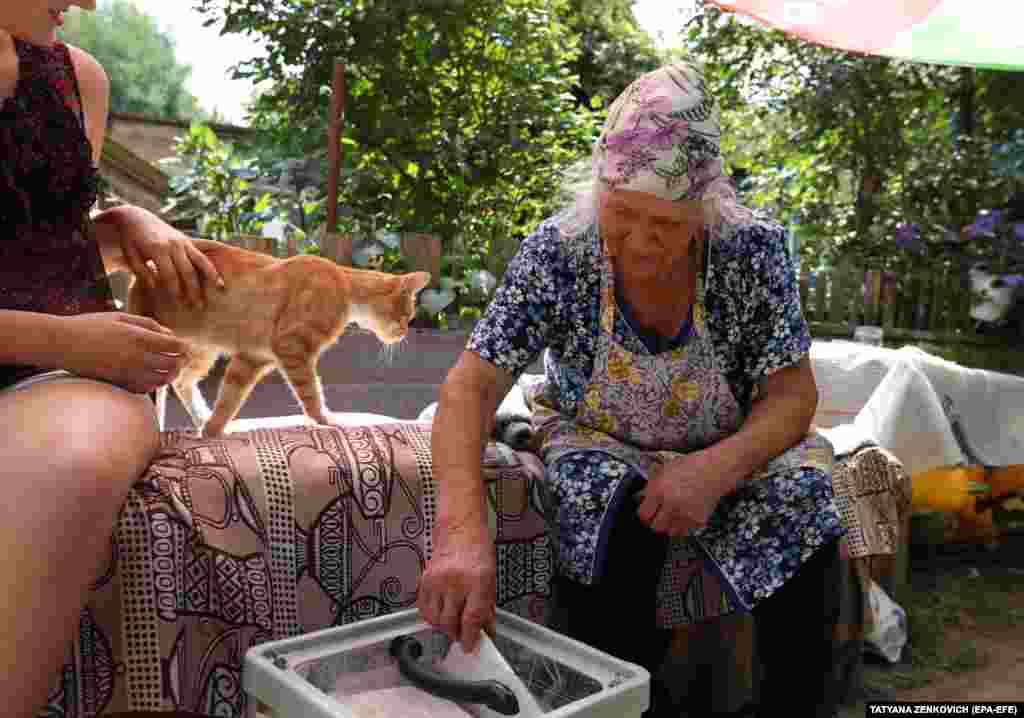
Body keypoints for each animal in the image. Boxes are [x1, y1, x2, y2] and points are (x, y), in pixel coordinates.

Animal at [122, 240, 428, 434]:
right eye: (407, 314)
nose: (406, 332)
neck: (344, 284)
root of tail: (142, 275)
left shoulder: (251, 359)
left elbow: (229, 399)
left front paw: (212, 431)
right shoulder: (292, 349)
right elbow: (311, 394)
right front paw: (328, 420)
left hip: (199, 353)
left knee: (181, 382)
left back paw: (201, 418)